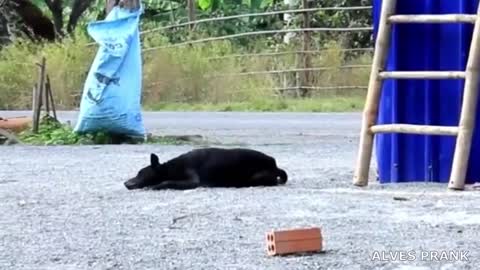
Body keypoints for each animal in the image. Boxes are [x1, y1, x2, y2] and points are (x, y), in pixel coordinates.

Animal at [124, 148, 288, 190]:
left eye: (140, 173)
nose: (125, 183)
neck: (171, 167)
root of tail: (275, 165)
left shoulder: (193, 181)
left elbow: (167, 182)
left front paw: (155, 185)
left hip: (256, 177)